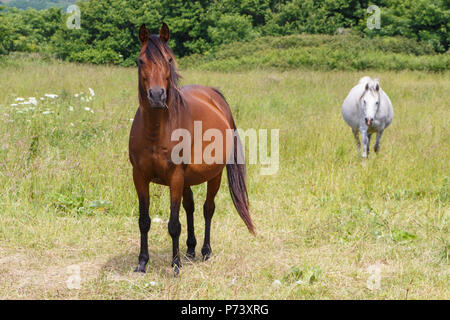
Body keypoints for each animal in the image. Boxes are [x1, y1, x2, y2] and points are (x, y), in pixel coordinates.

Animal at [128, 23, 255, 276]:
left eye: (168, 59)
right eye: (140, 60)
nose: (156, 96)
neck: (156, 131)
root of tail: (215, 96)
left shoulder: (175, 176)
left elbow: (173, 224)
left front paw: (175, 266)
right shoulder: (140, 176)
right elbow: (144, 221)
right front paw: (142, 262)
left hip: (214, 175)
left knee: (207, 209)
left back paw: (204, 251)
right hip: (187, 180)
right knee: (190, 208)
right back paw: (190, 250)